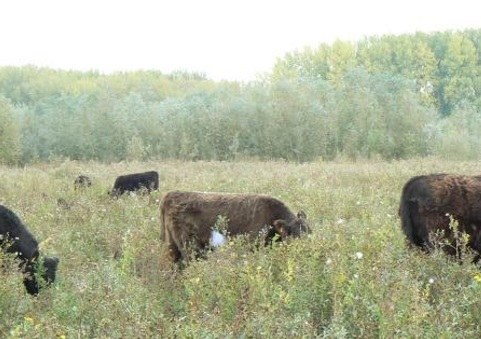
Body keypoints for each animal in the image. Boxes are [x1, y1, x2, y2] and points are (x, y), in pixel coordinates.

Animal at [160, 191, 312, 266]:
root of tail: (171, 194)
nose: (308, 252)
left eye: (310, 233)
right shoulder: (253, 245)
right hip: (191, 248)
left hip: (172, 247)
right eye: (296, 236)